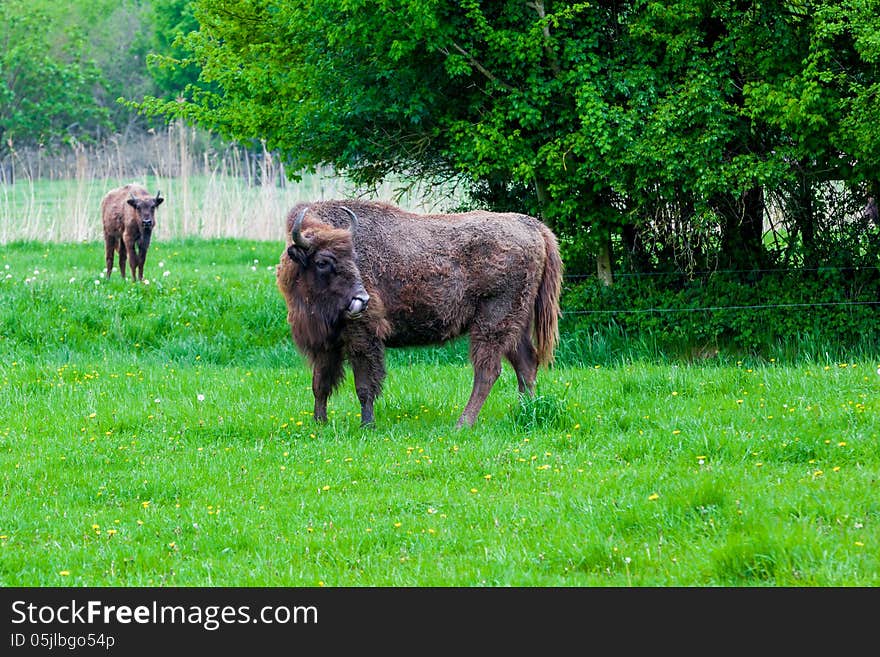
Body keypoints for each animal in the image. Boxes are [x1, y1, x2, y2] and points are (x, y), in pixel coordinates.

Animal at [276, 197, 564, 428]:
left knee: (488, 371)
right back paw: (526, 412)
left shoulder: (363, 337)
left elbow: (364, 385)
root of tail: (534, 227)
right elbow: (319, 384)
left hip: (492, 321)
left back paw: (463, 424)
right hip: (517, 323)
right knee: (526, 364)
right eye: (323, 262)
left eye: (354, 258)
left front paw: (367, 425)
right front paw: (319, 423)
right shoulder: (325, 343)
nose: (362, 300)